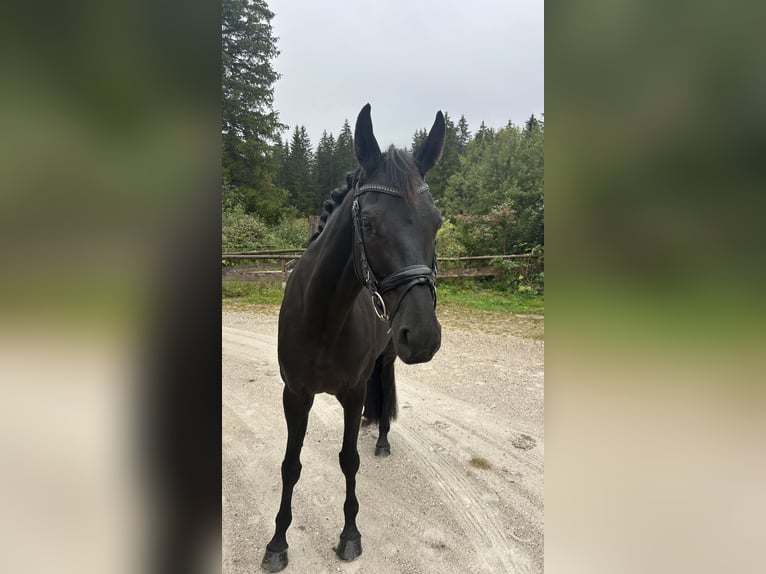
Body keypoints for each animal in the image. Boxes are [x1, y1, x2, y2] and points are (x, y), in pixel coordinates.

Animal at [261, 104, 446, 573]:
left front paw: (349, 535)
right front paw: (277, 542)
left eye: (436, 223)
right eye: (368, 222)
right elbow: (290, 464)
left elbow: (349, 461)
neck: (324, 318)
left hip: (386, 359)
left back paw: (379, 438)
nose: (423, 336)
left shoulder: (354, 391)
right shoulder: (295, 395)